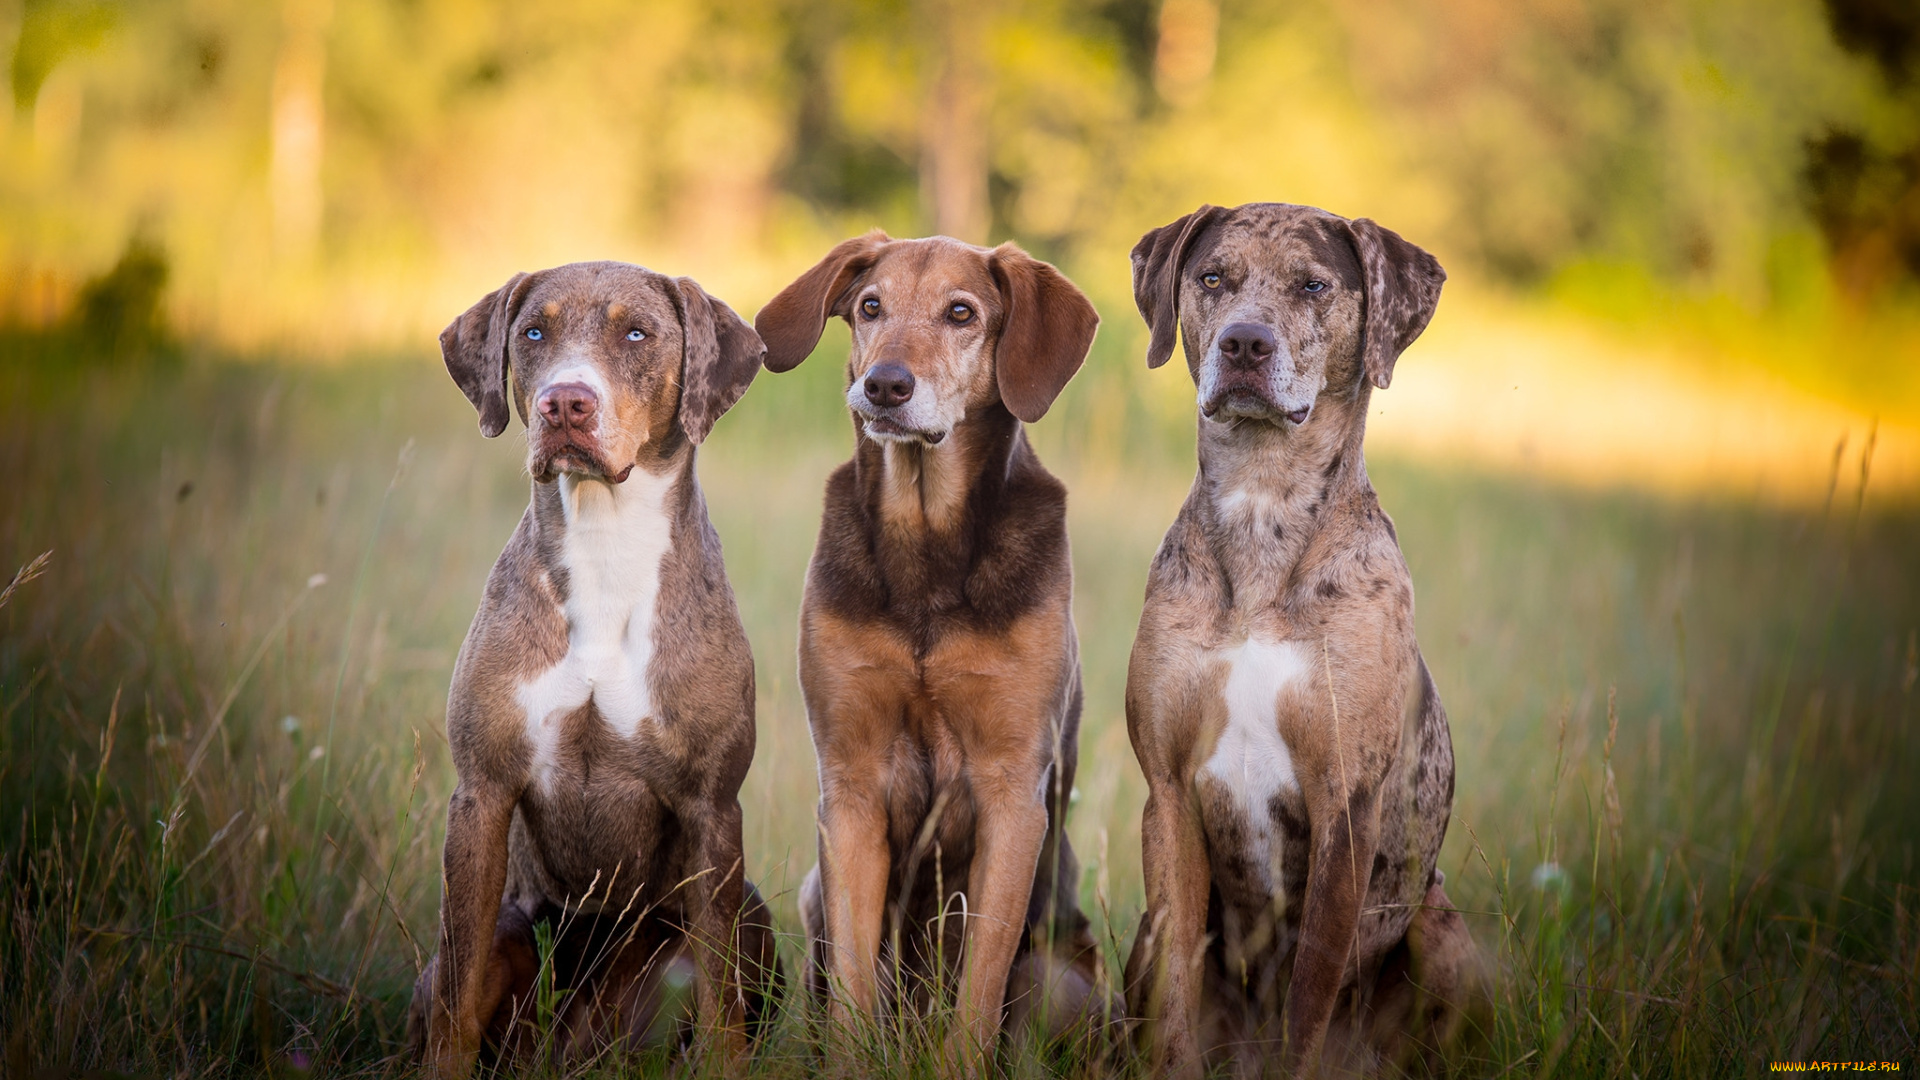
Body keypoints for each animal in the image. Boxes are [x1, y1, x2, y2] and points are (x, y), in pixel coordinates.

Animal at [416, 263, 783, 1076]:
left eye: (637, 334)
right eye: (533, 332)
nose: (564, 402)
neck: (605, 541)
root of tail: (579, 1045)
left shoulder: (713, 809)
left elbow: (722, 1009)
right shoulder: (481, 797)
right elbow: (456, 994)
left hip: (748, 914)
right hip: (510, 934)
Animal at [748, 228, 1113, 1060]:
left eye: (961, 313)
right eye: (870, 306)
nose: (884, 385)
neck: (924, 543)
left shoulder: (1013, 792)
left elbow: (979, 990)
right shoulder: (850, 788)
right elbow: (854, 987)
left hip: (1063, 972)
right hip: (814, 896)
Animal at [1121, 205, 1489, 1068]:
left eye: (1315, 285)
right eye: (1212, 276)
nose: (1245, 344)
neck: (1265, 506)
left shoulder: (1344, 812)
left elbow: (1312, 993)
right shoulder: (1168, 797)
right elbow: (1178, 994)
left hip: (1446, 934)